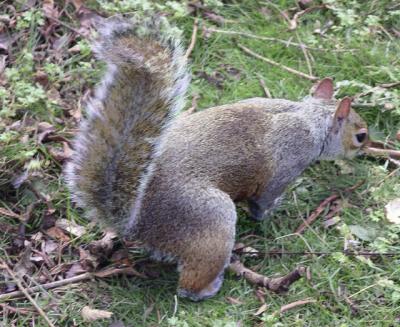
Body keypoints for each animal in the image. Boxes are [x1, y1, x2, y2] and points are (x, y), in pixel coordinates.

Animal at [65, 16, 368, 302]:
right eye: (360, 135)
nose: (366, 149)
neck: (307, 117)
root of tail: (137, 224)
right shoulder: (288, 160)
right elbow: (262, 201)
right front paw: (272, 212)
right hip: (211, 218)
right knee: (190, 281)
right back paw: (207, 287)